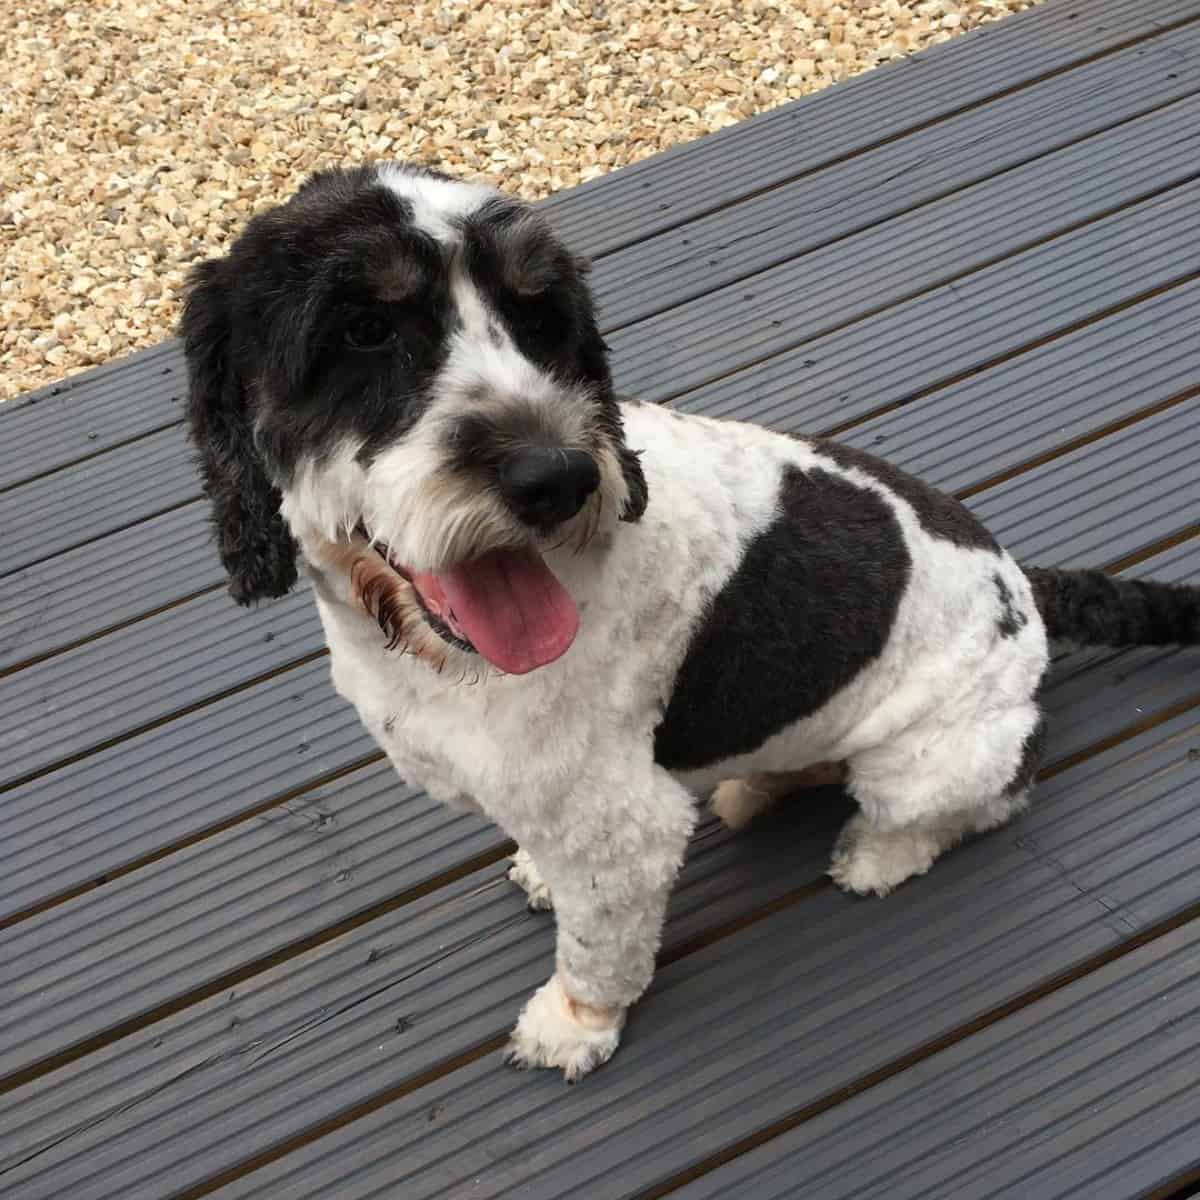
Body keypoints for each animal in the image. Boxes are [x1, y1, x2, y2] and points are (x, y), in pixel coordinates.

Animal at [182, 159, 1200, 1080]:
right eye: (363, 330)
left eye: (542, 320)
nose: (557, 478)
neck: (431, 659)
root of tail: (1022, 588)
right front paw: (539, 875)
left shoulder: (622, 830)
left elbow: (599, 949)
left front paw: (574, 1026)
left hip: (929, 763)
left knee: (983, 801)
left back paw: (880, 853)